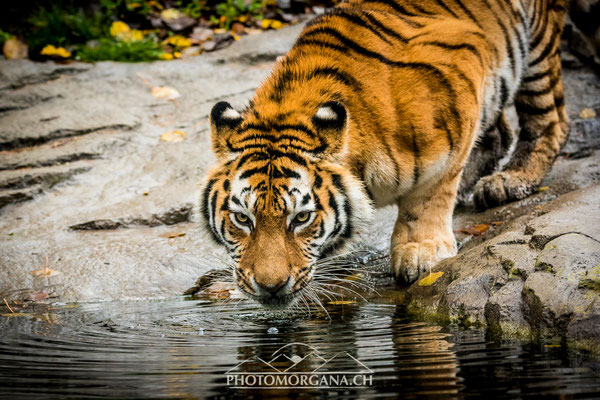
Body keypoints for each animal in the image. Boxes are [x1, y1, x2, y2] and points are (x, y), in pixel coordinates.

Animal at [199, 0, 568, 306]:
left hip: (536, 47)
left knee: (551, 121)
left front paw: (420, 252)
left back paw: (509, 180)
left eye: (301, 218)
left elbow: (432, 191)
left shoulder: (465, 66)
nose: (270, 287)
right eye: (242, 219)